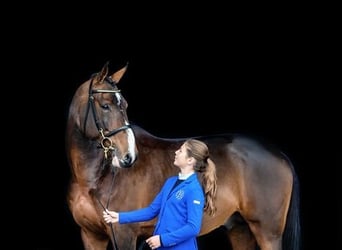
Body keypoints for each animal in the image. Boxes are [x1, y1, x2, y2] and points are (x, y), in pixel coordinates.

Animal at [65, 62, 300, 250]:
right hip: (240, 230)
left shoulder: (124, 235)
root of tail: (280, 154)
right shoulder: (91, 236)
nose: (129, 156)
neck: (95, 178)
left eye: (125, 105)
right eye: (105, 106)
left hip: (268, 233)